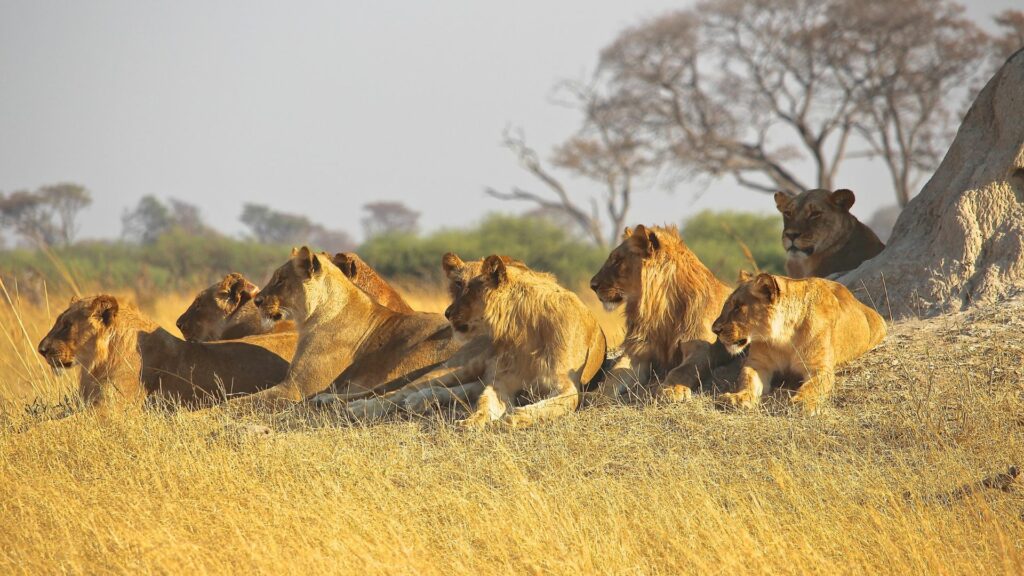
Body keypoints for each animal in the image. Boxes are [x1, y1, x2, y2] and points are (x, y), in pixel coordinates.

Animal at [444, 253, 602, 424]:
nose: (447, 313)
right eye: (458, 284)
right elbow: (484, 402)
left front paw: (513, 418)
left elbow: (548, 406)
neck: (525, 330)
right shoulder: (503, 380)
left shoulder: (567, 385)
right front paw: (470, 421)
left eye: (471, 288)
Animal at [712, 270, 888, 412]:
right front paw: (737, 397)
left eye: (737, 307)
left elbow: (813, 386)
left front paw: (802, 402)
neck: (783, 337)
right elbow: (747, 379)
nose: (714, 329)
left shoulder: (820, 368)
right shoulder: (757, 364)